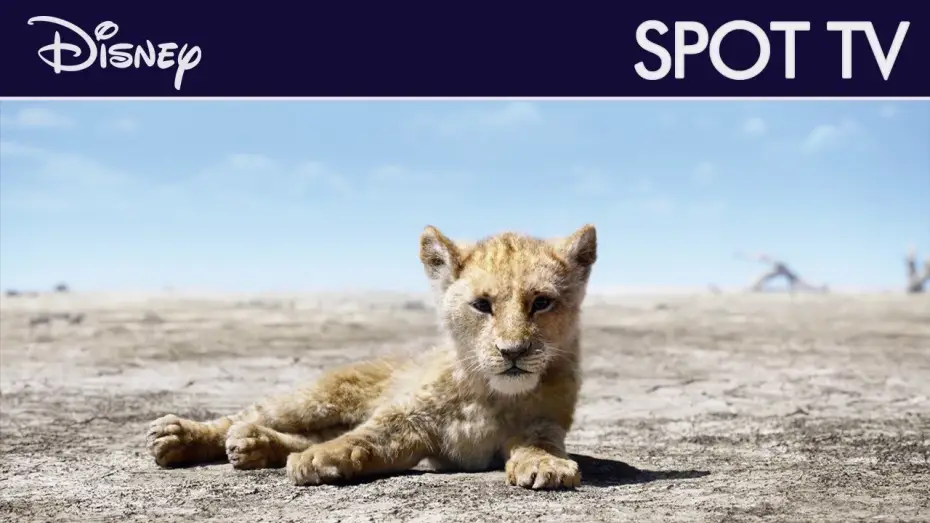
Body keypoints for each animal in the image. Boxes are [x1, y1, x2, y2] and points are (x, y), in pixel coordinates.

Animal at [147, 224, 597, 489]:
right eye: (482, 305)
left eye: (541, 303)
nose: (513, 351)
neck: (489, 393)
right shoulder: (410, 421)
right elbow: (363, 437)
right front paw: (317, 461)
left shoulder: (542, 423)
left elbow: (541, 443)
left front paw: (548, 467)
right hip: (317, 398)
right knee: (250, 415)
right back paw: (177, 436)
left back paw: (252, 445)